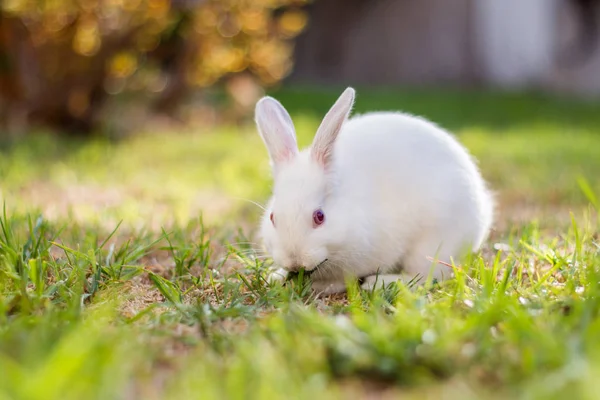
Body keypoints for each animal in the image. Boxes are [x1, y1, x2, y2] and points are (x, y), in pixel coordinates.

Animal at [253, 88, 492, 294]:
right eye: (272, 217)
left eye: (319, 217)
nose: (295, 262)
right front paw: (277, 276)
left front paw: (319, 286)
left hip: (433, 246)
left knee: (428, 276)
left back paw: (379, 283)